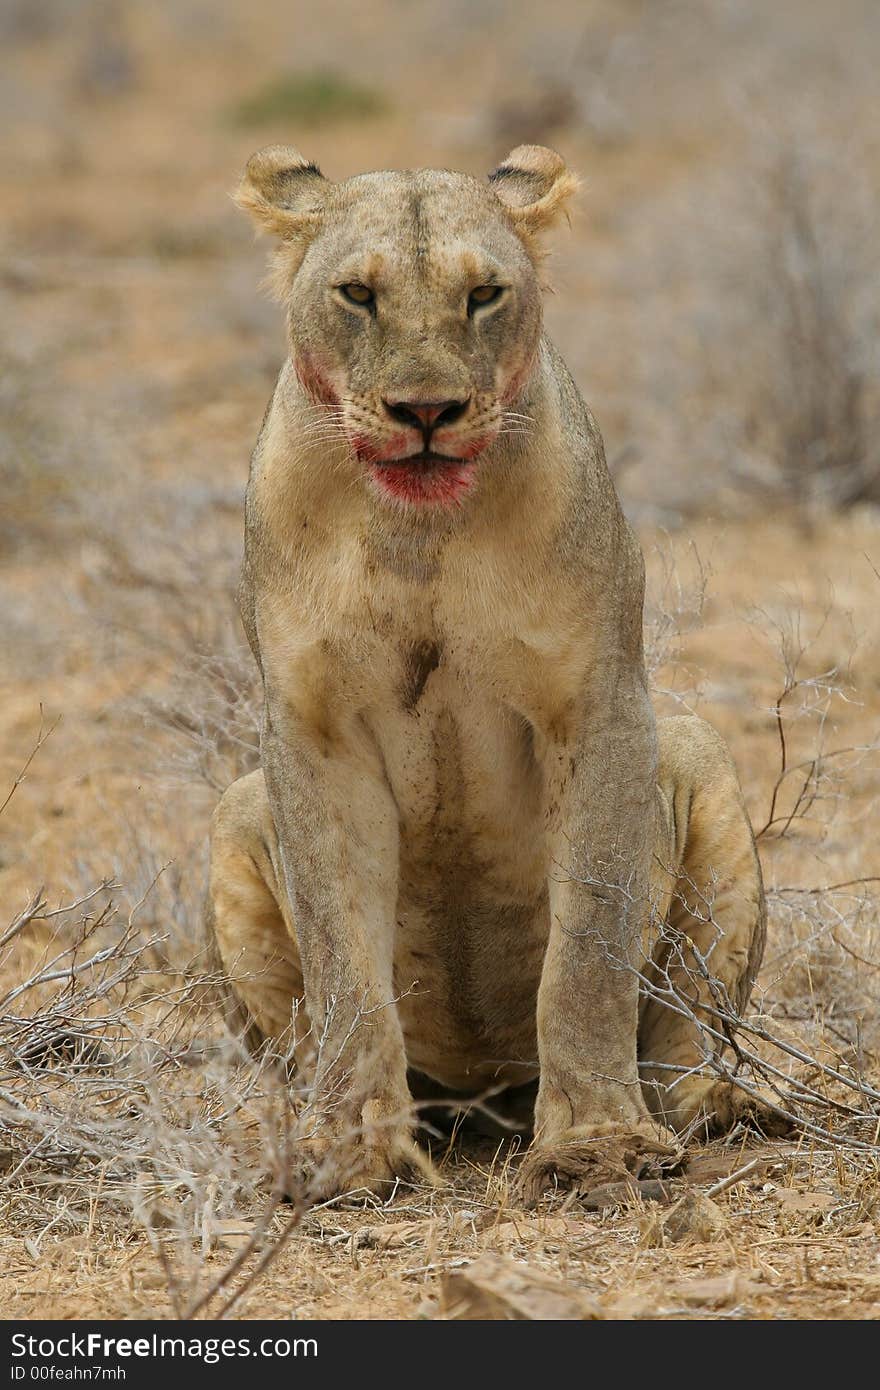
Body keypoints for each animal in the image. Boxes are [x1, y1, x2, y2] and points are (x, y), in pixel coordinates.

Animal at [207, 143, 784, 1206]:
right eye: (358, 294)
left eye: (483, 294)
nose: (427, 412)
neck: (422, 537)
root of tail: (484, 1098)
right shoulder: (311, 731)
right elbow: (345, 967)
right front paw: (350, 1149)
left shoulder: (598, 706)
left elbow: (588, 948)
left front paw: (599, 1142)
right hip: (235, 808)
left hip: (702, 759)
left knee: (689, 1036)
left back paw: (722, 1107)